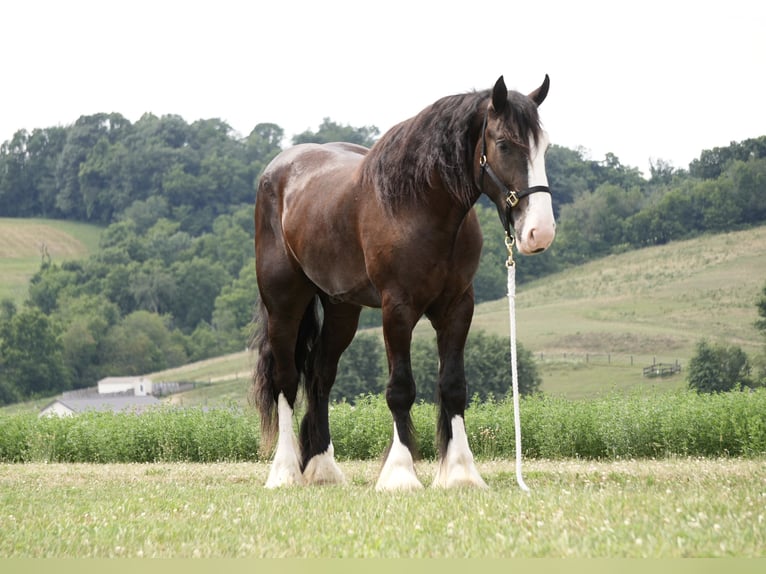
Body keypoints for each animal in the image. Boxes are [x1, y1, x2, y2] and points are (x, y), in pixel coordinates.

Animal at [252, 75, 556, 490]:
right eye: (505, 143)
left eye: (545, 146)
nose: (540, 231)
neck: (419, 205)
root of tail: (278, 170)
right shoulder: (397, 308)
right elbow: (400, 390)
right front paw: (400, 474)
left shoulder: (457, 307)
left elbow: (453, 387)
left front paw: (460, 472)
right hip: (284, 304)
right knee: (286, 378)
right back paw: (284, 472)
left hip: (342, 309)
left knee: (320, 377)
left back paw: (322, 468)